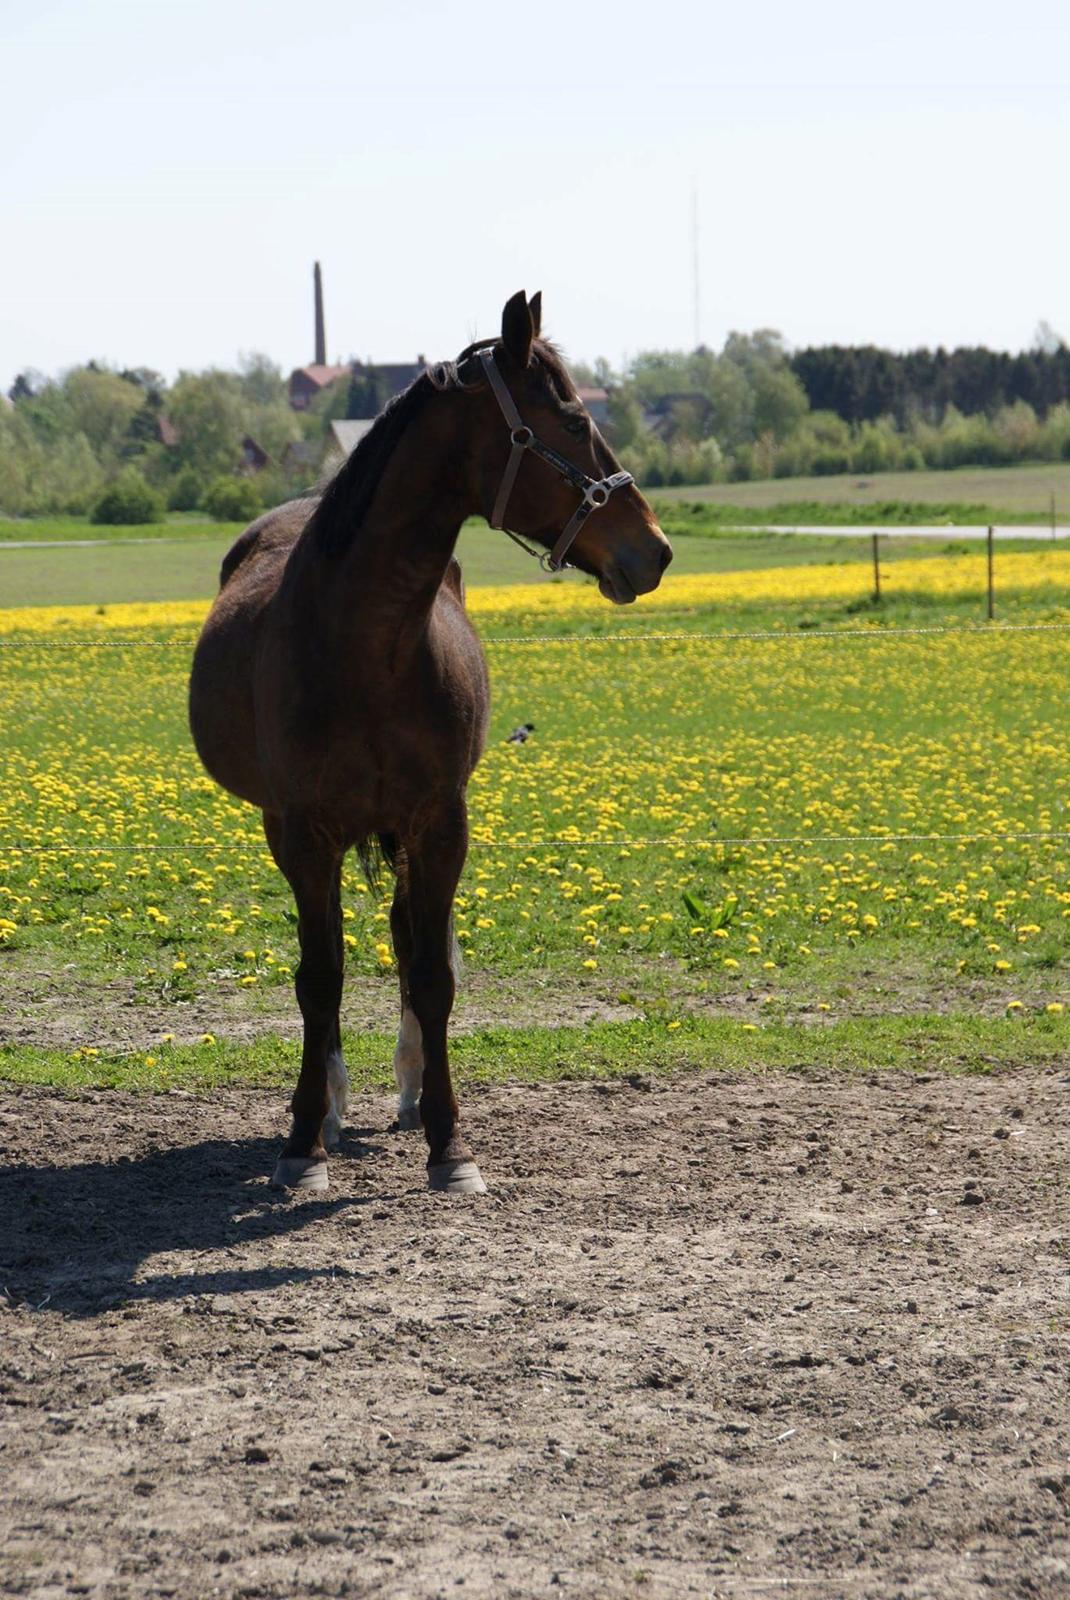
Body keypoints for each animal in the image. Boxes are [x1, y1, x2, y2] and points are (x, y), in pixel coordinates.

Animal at [184, 288, 668, 1196]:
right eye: (575, 420)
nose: (653, 548)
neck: (366, 646)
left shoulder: (441, 823)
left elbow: (432, 972)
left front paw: (450, 1144)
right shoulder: (306, 832)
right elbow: (320, 979)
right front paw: (303, 1144)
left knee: (409, 939)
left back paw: (407, 1090)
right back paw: (332, 1108)